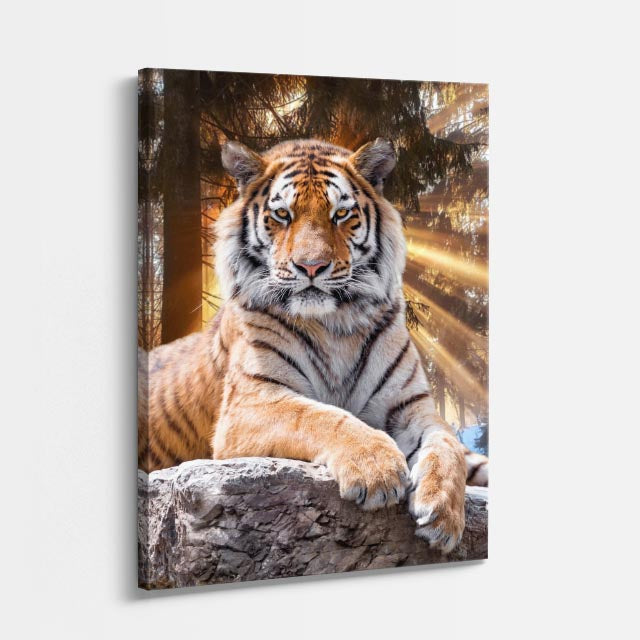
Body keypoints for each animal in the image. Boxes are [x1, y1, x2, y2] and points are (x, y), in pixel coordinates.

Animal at [138, 138, 489, 554]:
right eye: (282, 215)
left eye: (341, 214)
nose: (310, 267)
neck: (336, 325)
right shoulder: (251, 403)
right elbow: (319, 416)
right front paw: (377, 467)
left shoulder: (411, 408)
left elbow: (446, 443)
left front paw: (443, 513)